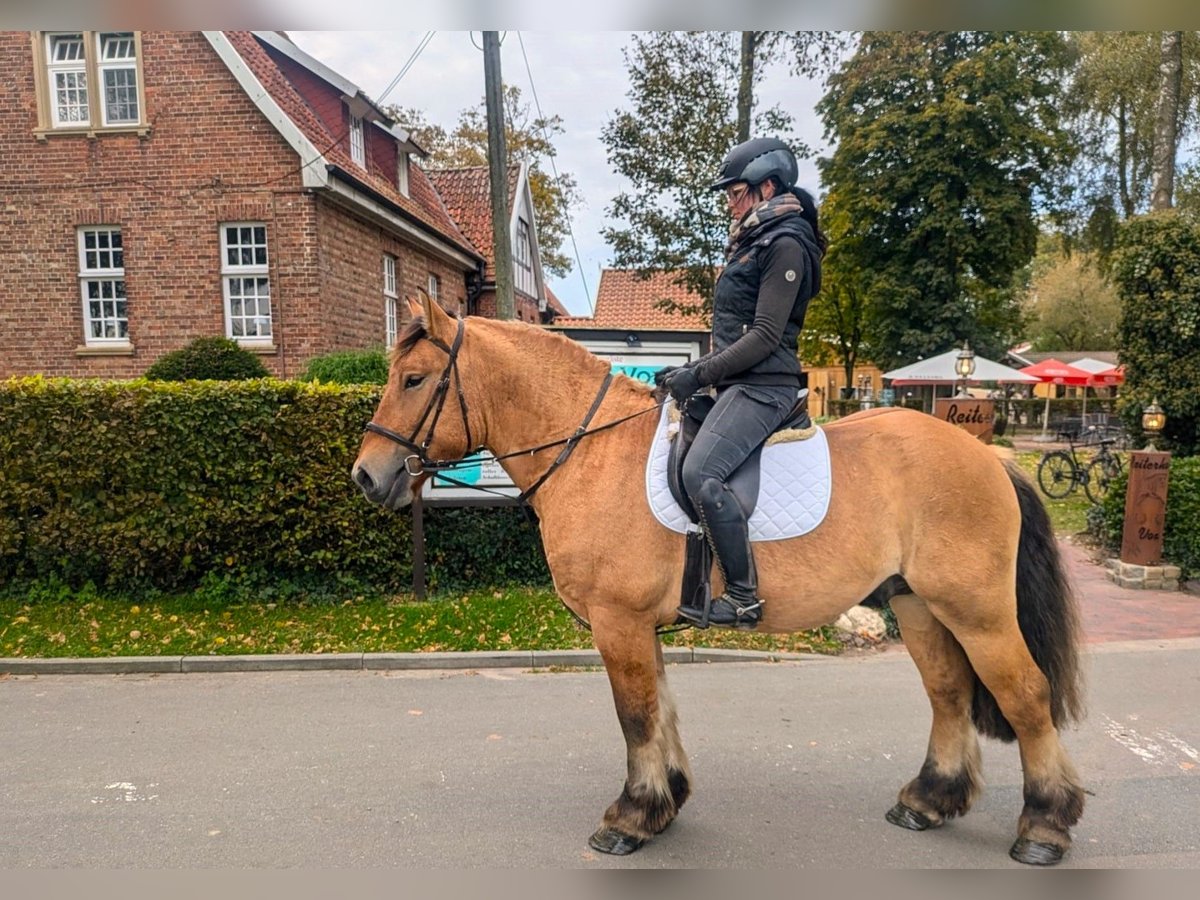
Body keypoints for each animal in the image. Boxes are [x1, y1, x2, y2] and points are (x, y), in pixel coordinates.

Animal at [350, 296, 1089, 868]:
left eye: (413, 379)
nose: (365, 476)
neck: (592, 452)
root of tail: (988, 458)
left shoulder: (619, 623)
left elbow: (635, 714)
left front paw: (631, 817)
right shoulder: (639, 626)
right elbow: (661, 709)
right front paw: (665, 802)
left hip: (978, 611)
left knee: (1026, 696)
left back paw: (1045, 826)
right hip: (918, 605)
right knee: (948, 693)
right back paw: (930, 800)